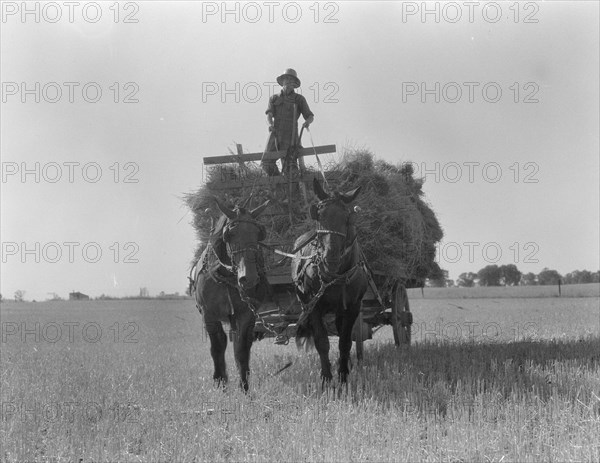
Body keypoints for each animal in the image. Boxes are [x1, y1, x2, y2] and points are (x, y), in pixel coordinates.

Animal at [192, 196, 270, 392]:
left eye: (258, 233)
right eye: (230, 234)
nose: (249, 278)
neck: (224, 276)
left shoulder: (247, 314)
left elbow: (241, 349)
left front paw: (244, 387)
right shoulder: (209, 315)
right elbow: (217, 347)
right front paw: (220, 381)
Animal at [292, 179, 368, 382]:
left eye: (348, 218)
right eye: (319, 216)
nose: (330, 260)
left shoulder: (352, 307)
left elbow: (345, 342)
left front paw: (343, 376)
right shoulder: (314, 306)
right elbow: (322, 342)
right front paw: (326, 378)